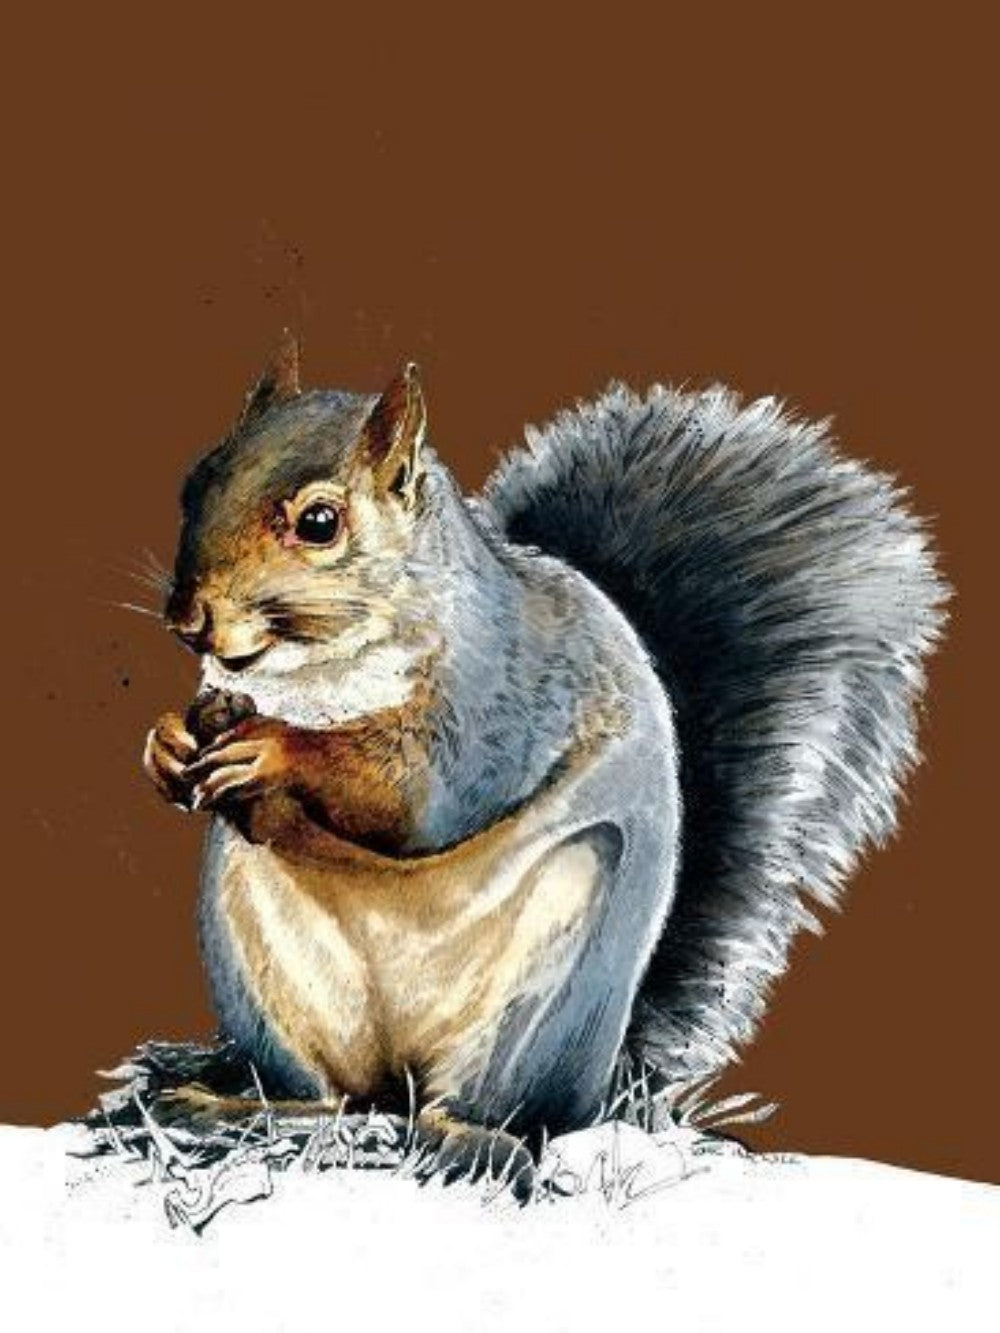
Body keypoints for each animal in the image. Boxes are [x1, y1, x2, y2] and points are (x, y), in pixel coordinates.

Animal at [144, 333, 947, 1179]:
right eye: (194, 479)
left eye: (320, 522)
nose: (188, 617)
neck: (315, 672)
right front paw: (166, 745)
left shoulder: (497, 697)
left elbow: (421, 792)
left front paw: (273, 749)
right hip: (263, 968)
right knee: (335, 1097)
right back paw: (232, 1106)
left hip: (548, 978)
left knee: (486, 1106)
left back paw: (466, 1138)